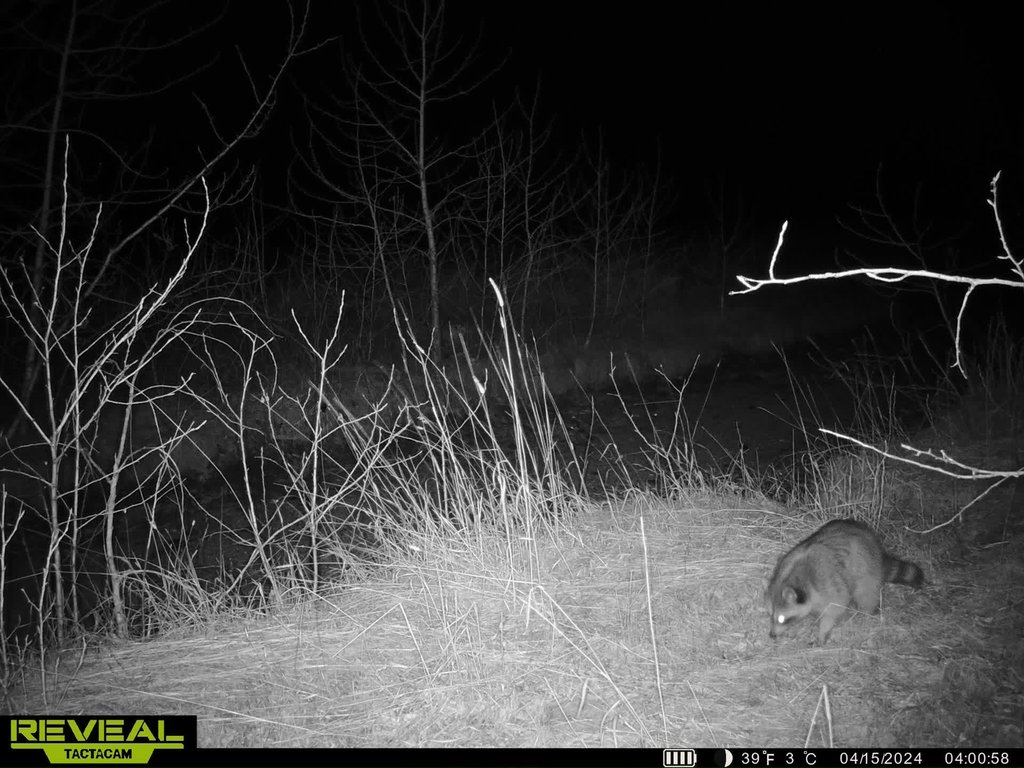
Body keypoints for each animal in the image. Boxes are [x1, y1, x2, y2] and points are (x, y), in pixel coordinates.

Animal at [767, 519, 924, 644]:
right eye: (771, 614)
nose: (772, 635)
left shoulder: (828, 584)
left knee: (866, 595)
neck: (796, 578)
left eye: (781, 618)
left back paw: (867, 613)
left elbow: (834, 608)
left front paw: (823, 631)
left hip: (866, 570)